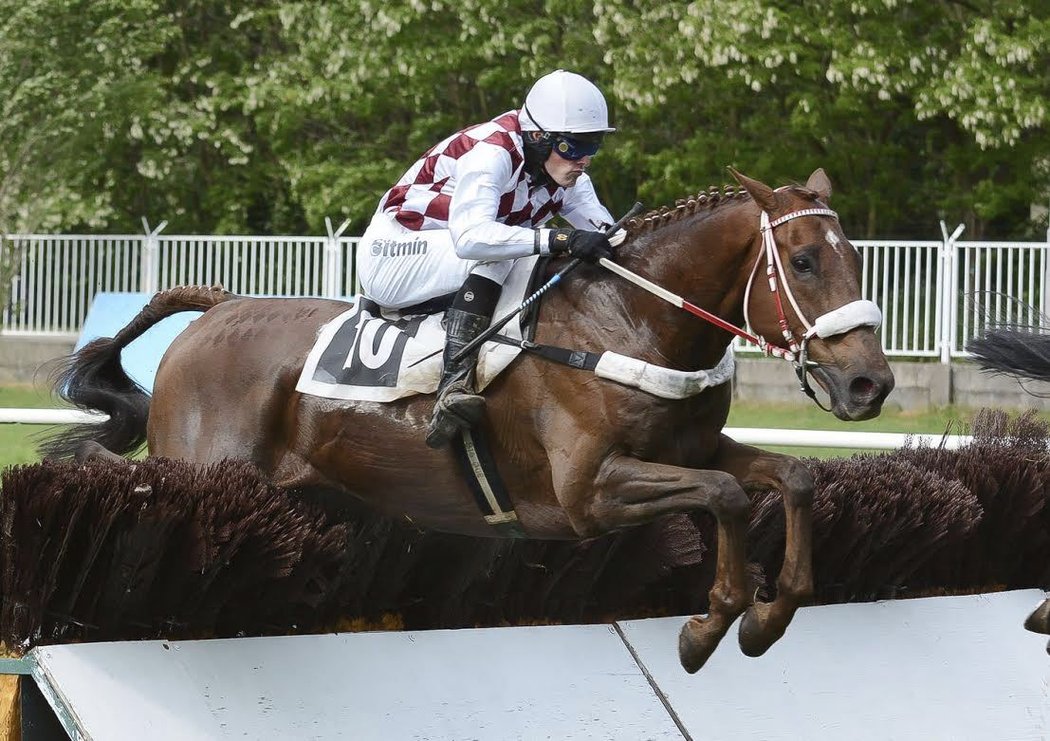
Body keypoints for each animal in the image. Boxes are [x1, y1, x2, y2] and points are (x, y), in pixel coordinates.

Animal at [43, 168, 894, 671]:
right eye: (805, 262)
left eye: (856, 255)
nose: (870, 383)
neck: (631, 323)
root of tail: (219, 307)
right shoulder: (586, 494)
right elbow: (725, 494)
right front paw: (709, 625)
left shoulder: (693, 444)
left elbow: (793, 475)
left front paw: (769, 615)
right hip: (203, 470)